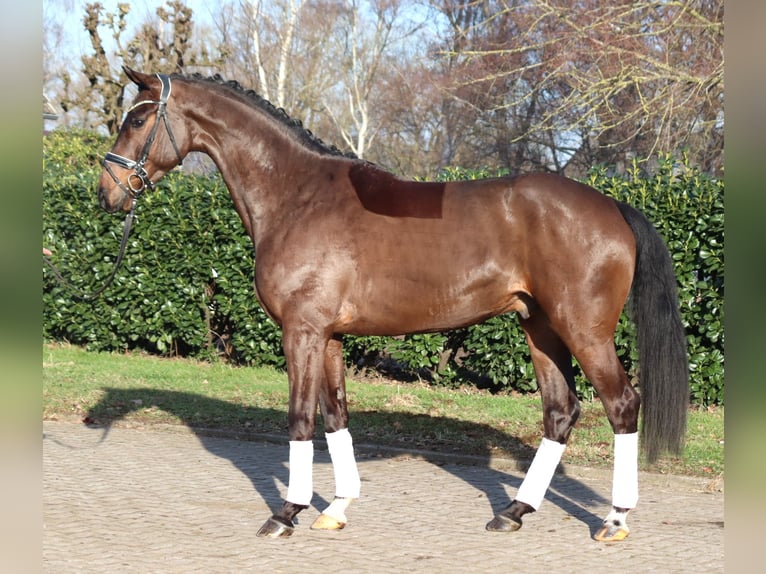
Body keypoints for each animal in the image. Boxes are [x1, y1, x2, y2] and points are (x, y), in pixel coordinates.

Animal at [97, 68, 689, 542]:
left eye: (138, 118)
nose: (108, 192)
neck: (296, 196)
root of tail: (611, 205)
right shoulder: (329, 337)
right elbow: (334, 415)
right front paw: (335, 508)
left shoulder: (301, 332)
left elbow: (299, 420)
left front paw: (286, 513)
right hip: (539, 328)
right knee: (561, 412)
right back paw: (514, 512)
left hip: (583, 330)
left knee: (622, 405)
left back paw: (615, 520)